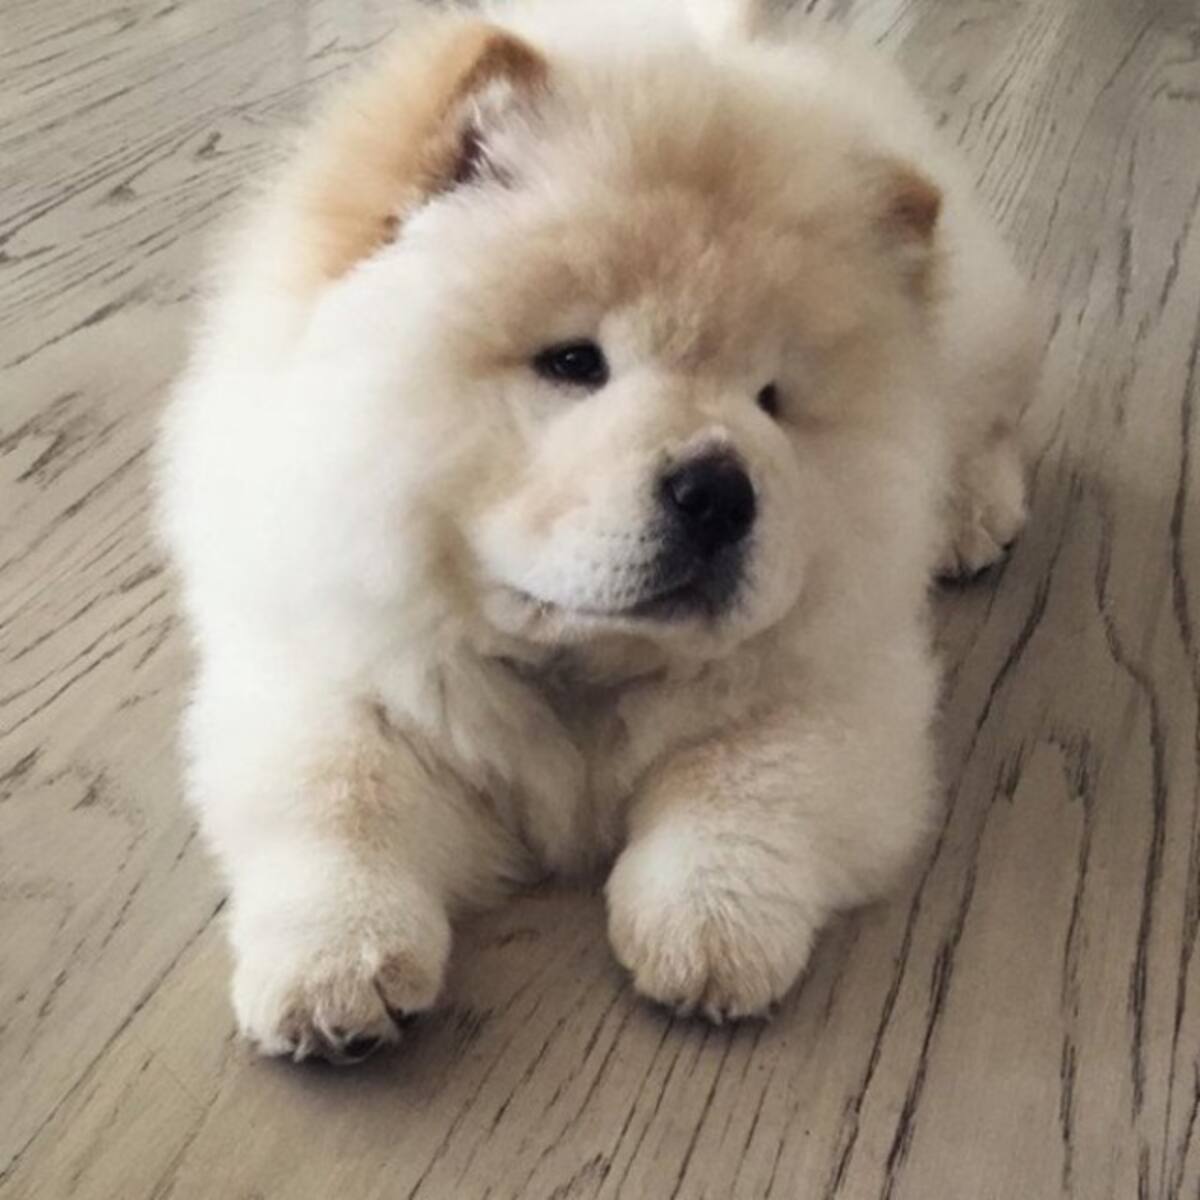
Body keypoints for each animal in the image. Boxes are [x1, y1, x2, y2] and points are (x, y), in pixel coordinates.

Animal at [158, 0, 1038, 1063]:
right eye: (574, 362)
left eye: (773, 401)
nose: (719, 490)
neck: (577, 663)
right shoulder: (322, 666)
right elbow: (338, 799)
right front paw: (337, 973)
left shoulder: (839, 684)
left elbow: (747, 782)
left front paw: (709, 931)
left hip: (982, 336)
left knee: (990, 422)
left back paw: (970, 511)